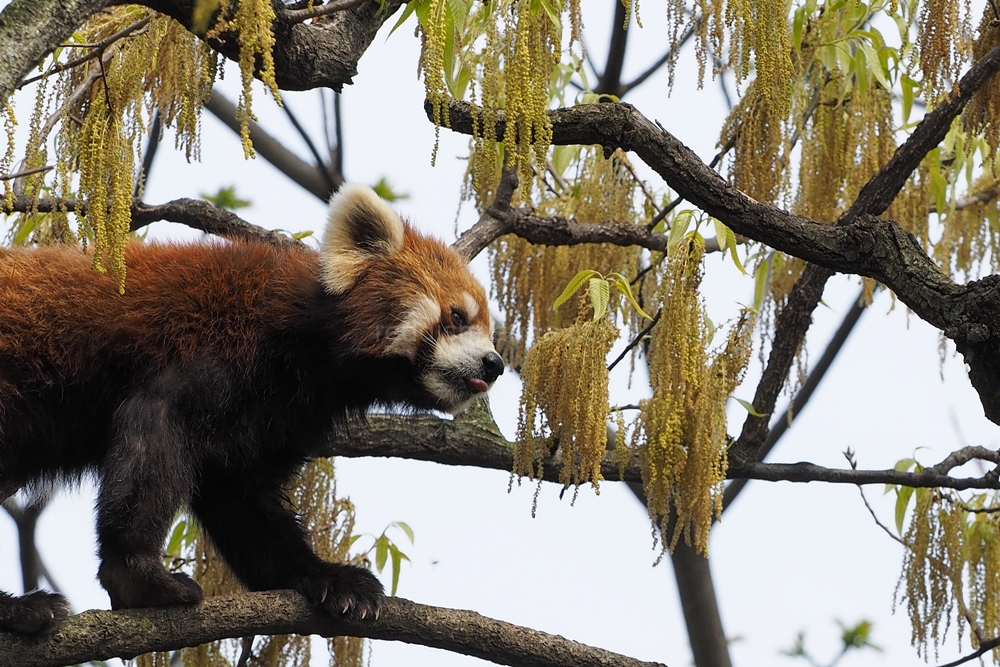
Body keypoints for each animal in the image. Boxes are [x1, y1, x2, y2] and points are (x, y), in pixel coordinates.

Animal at [0, 185, 500, 636]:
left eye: (489, 331)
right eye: (457, 317)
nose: (494, 364)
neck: (303, 344)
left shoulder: (280, 416)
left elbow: (243, 501)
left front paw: (327, 577)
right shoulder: (212, 350)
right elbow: (155, 423)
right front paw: (137, 577)